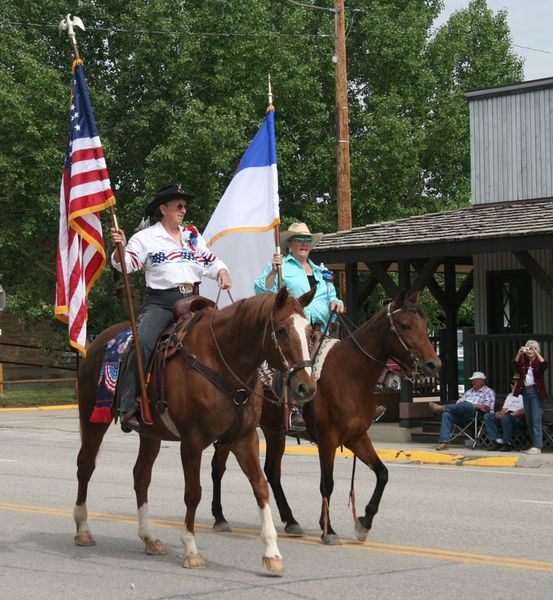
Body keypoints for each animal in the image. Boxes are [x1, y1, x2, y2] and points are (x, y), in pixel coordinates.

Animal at [72, 288, 314, 576]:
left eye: (310, 332)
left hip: (151, 434)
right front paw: (191, 550)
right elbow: (193, 492)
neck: (223, 361)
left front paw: (272, 553)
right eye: (281, 330)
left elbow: (260, 486)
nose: (306, 387)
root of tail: (97, 342)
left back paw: (149, 538)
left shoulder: (245, 438)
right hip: (92, 418)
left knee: (141, 476)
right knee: (85, 465)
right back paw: (82, 530)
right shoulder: (192, 441)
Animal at [209, 290, 442, 544]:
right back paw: (220, 517)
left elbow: (382, 473)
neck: (350, 374)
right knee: (218, 467)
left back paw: (291, 521)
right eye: (405, 325)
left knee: (272, 471)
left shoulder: (356, 437)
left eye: (426, 325)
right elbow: (327, 483)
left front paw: (363, 522)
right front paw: (328, 530)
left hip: (273, 431)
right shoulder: (328, 439)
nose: (434, 364)